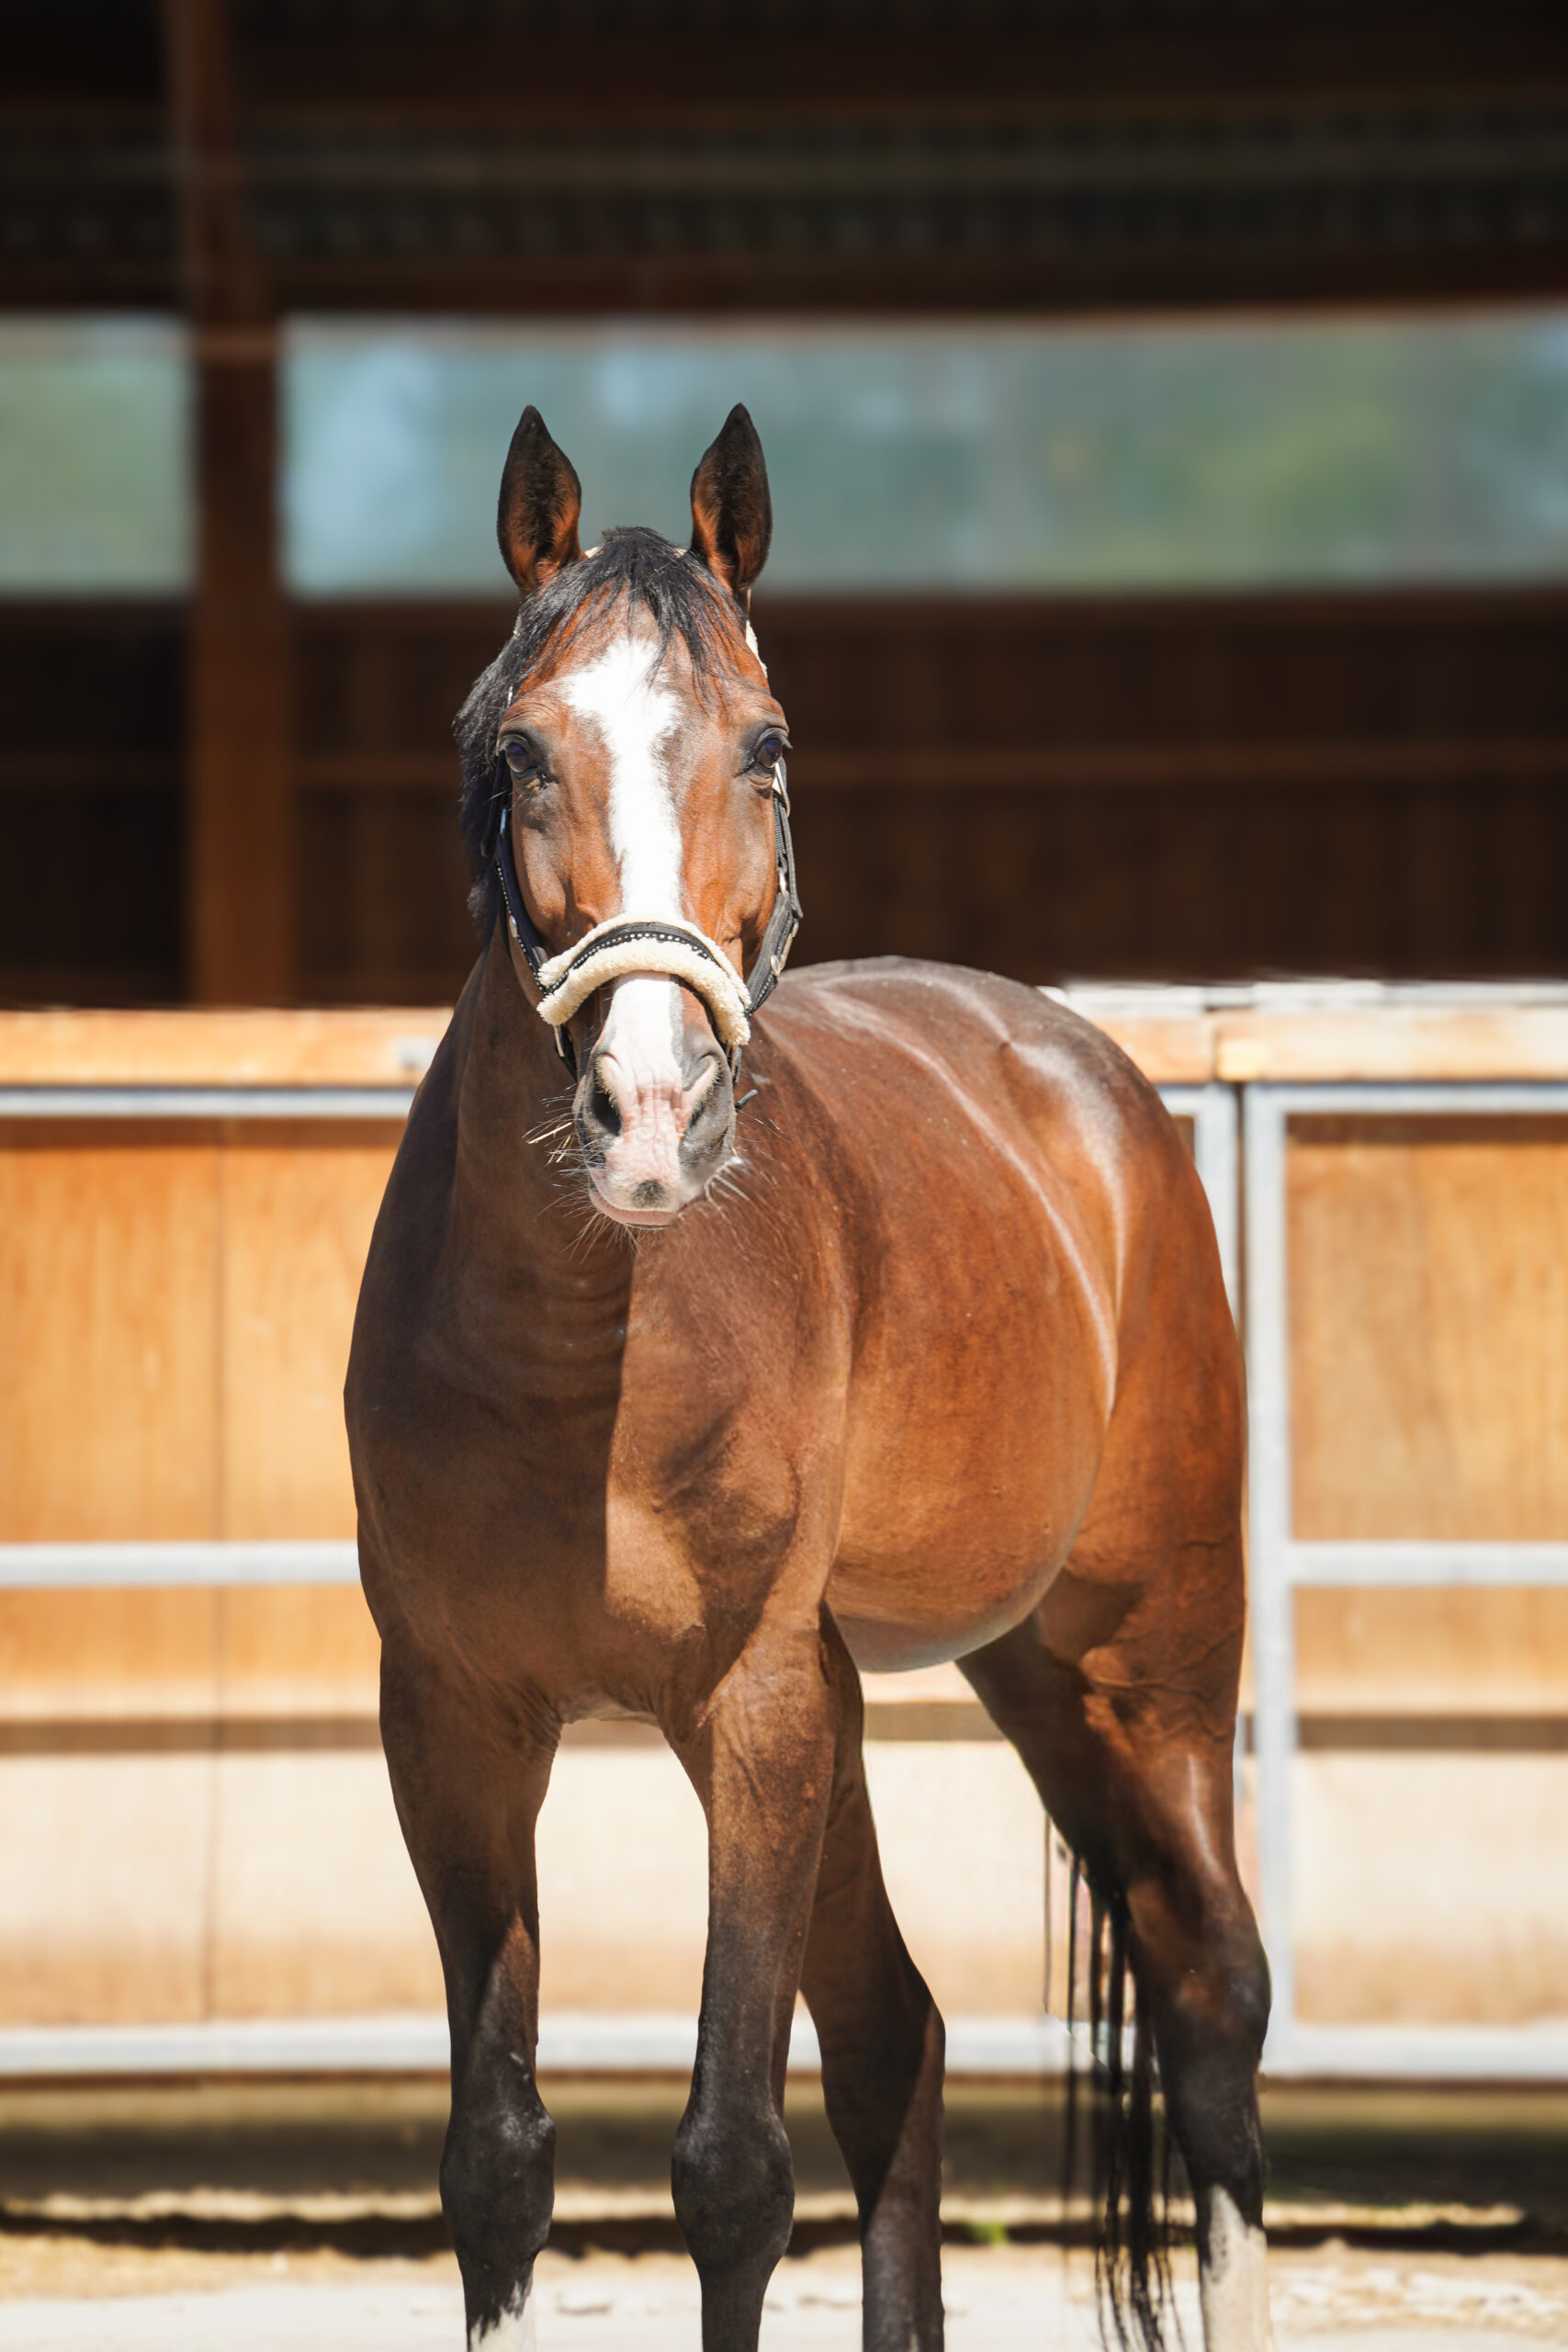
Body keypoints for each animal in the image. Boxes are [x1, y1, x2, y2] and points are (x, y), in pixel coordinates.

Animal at [346, 402, 1273, 2352]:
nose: (645, 1113)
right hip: (912, 1696)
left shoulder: (748, 1710)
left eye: (764, 752)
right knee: (897, 2038)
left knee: (1211, 2008)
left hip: (1134, 1666)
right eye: (518, 753)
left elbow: (729, 2165)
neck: (584, 1369)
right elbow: (497, 2162)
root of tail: (1087, 1084)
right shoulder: (456, 1729)